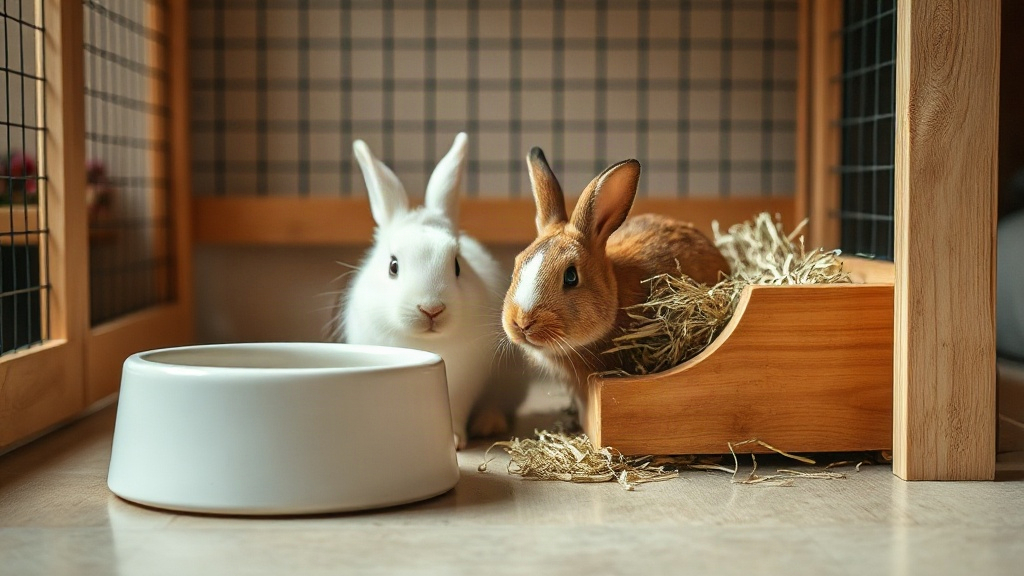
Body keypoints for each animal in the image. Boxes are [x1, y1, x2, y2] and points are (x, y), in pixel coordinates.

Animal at [337, 133, 525, 449]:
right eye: (393, 266)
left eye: (457, 265)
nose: (432, 309)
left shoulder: (465, 382)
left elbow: (457, 410)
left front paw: (455, 440)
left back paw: (488, 423)